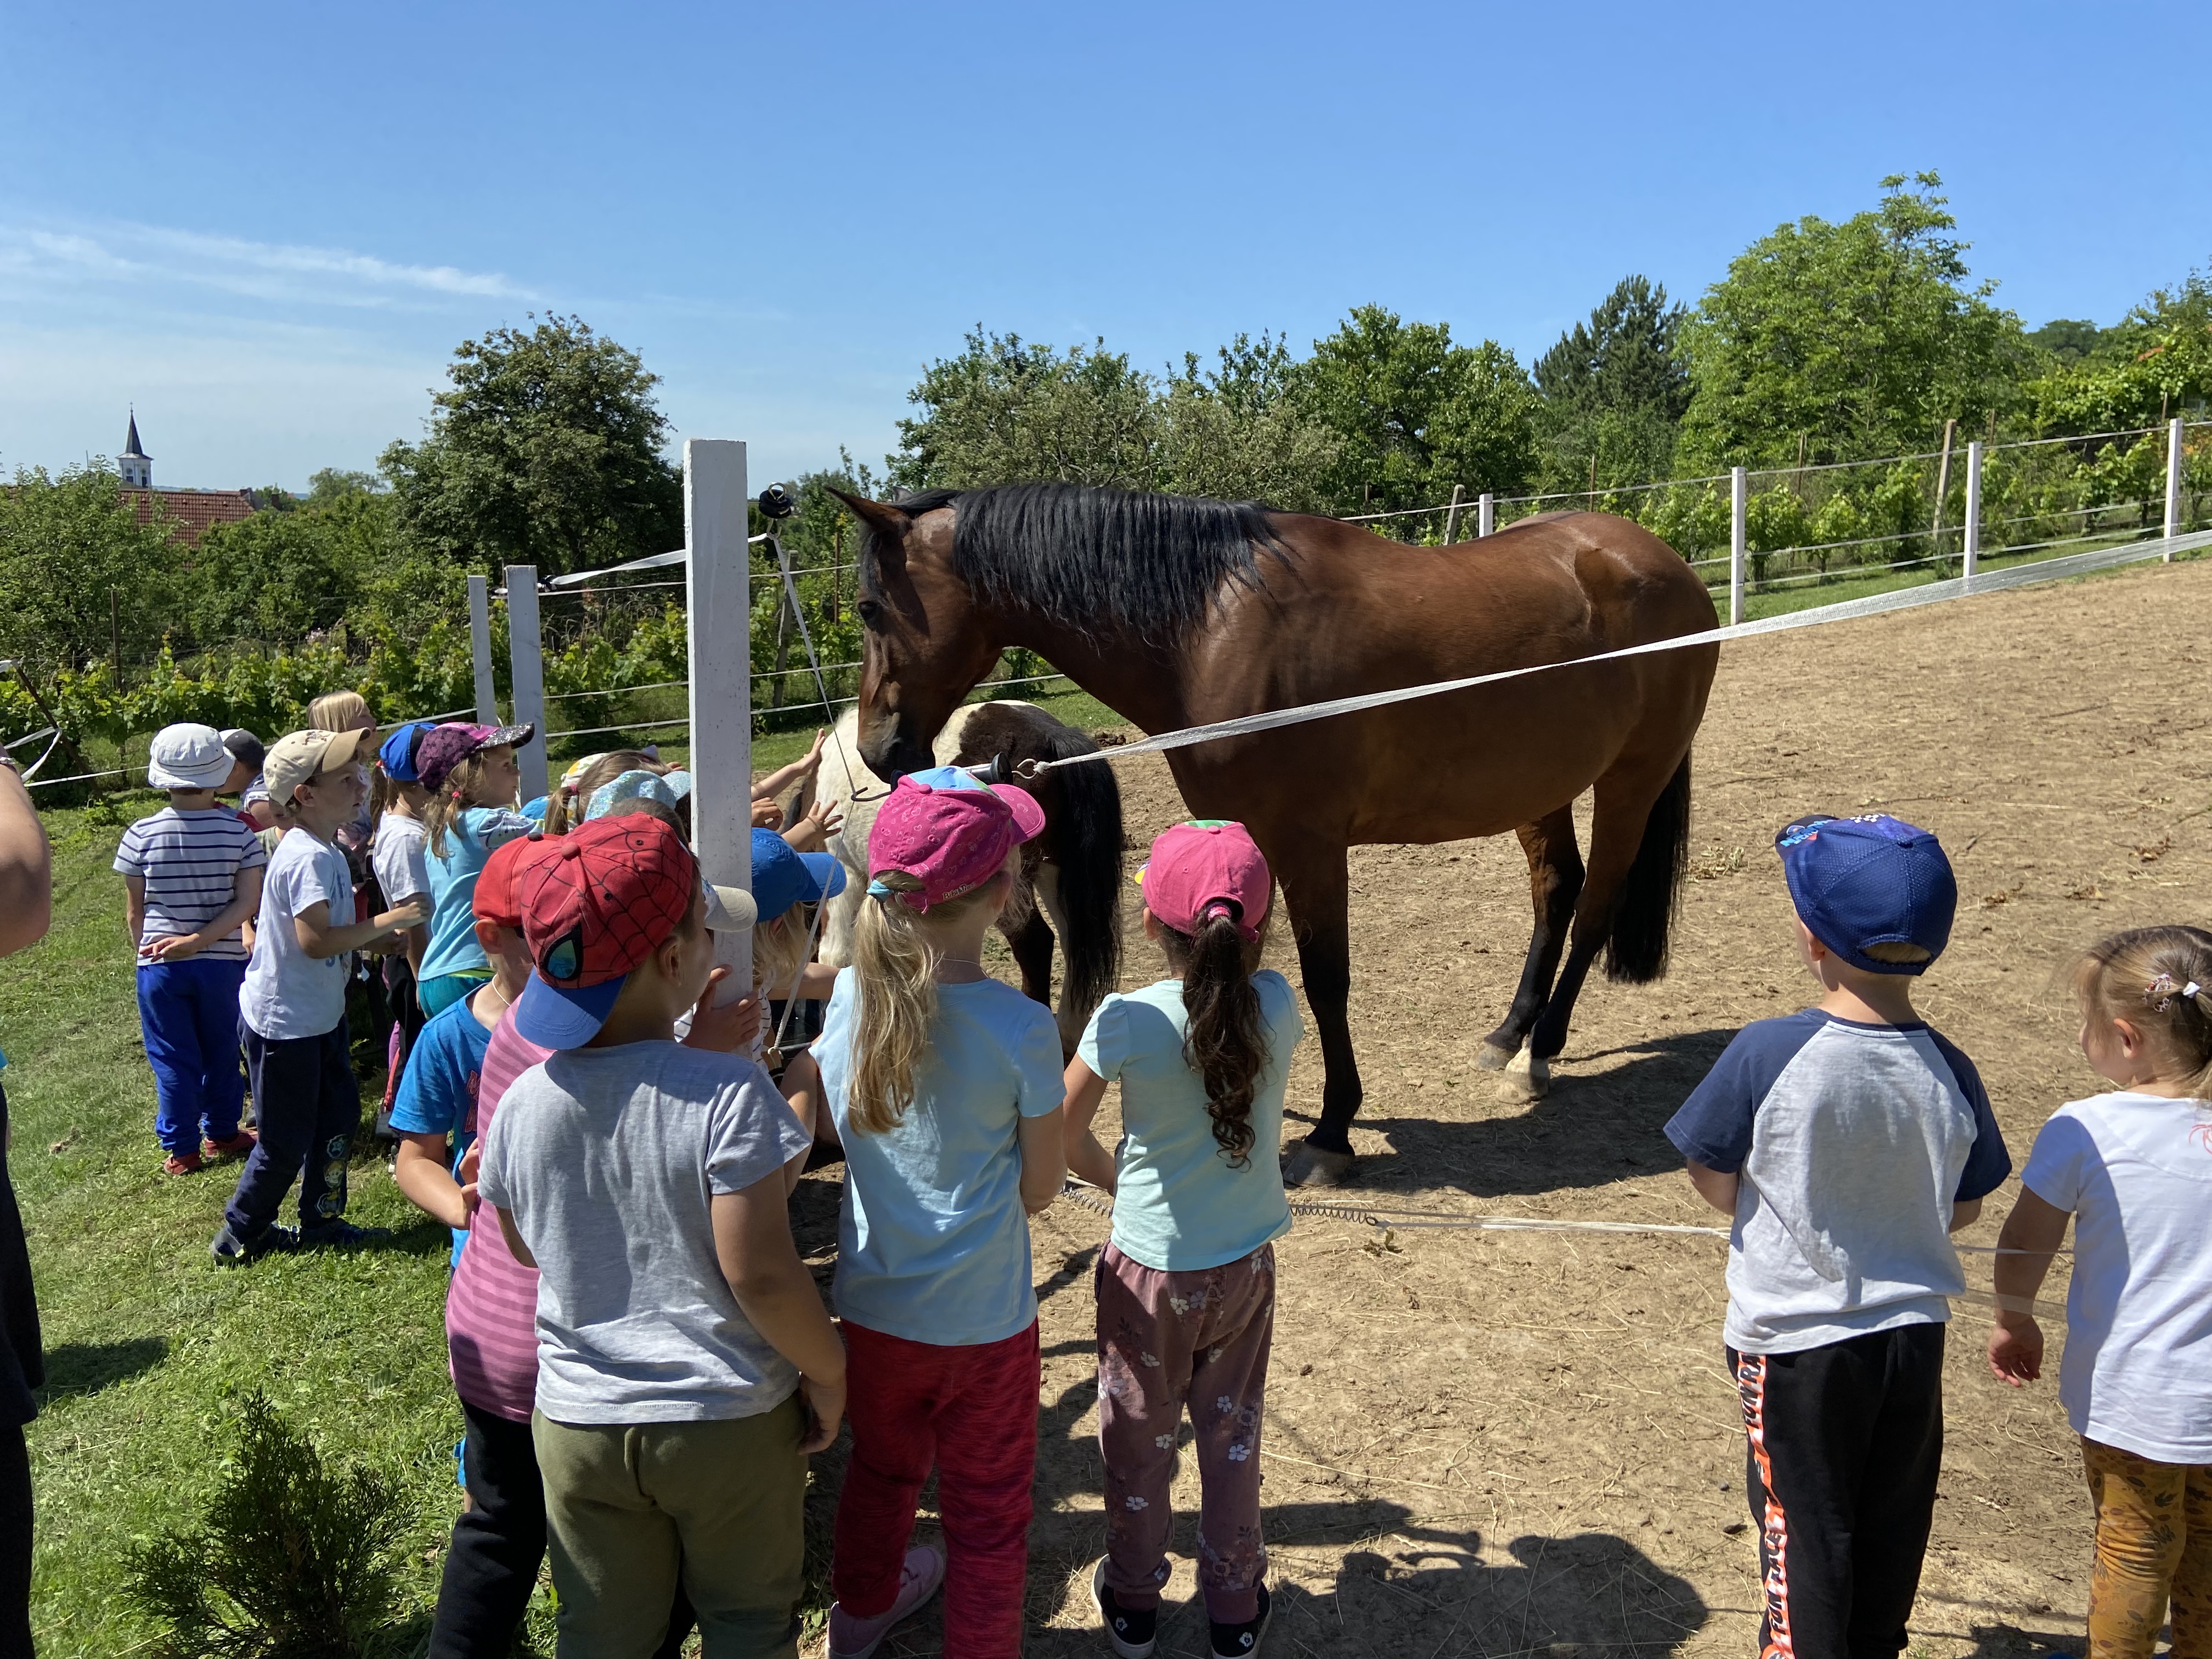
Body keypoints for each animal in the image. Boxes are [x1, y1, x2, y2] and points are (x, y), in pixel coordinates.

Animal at [809, 699, 1124, 1057]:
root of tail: (1050, 735)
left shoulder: (844, 874)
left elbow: (834, 955)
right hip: (1055, 872)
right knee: (1075, 943)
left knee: (1035, 942)